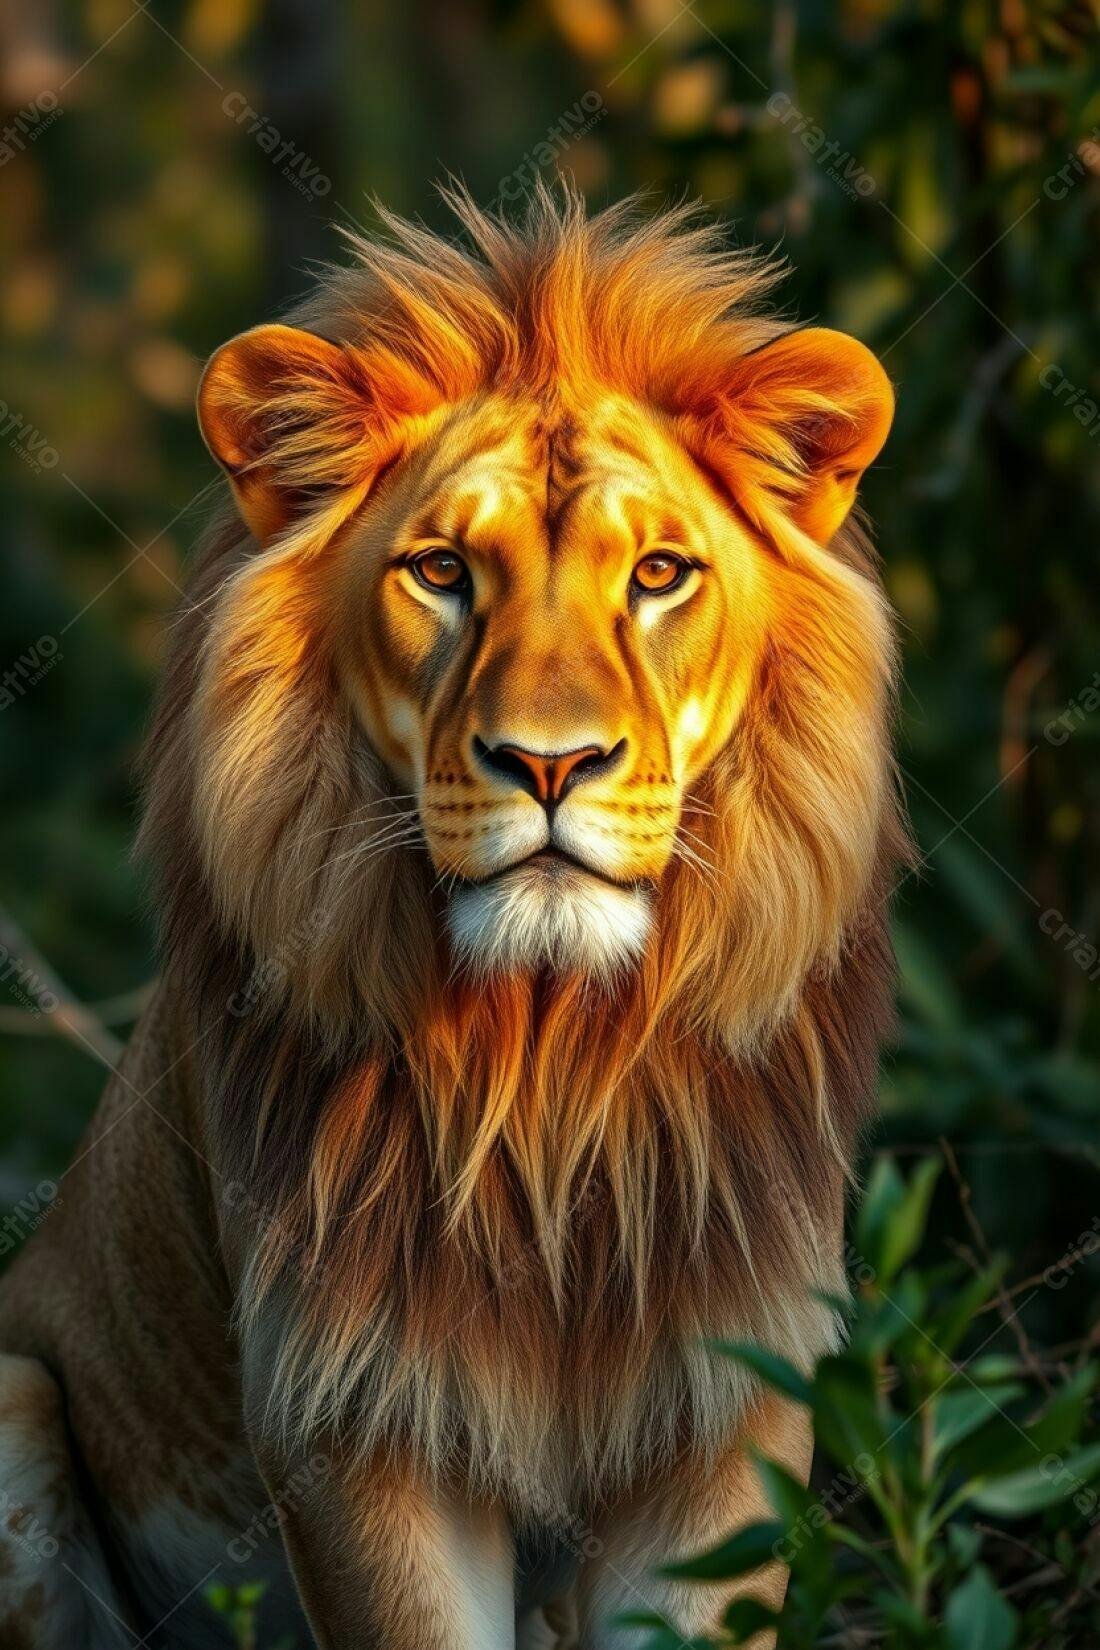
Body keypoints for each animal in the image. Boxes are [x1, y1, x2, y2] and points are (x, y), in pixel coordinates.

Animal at [0, 186, 903, 1649]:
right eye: (437, 571)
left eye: (660, 573)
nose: (549, 761)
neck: (549, 1067)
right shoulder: (357, 1425)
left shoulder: (726, 1410)